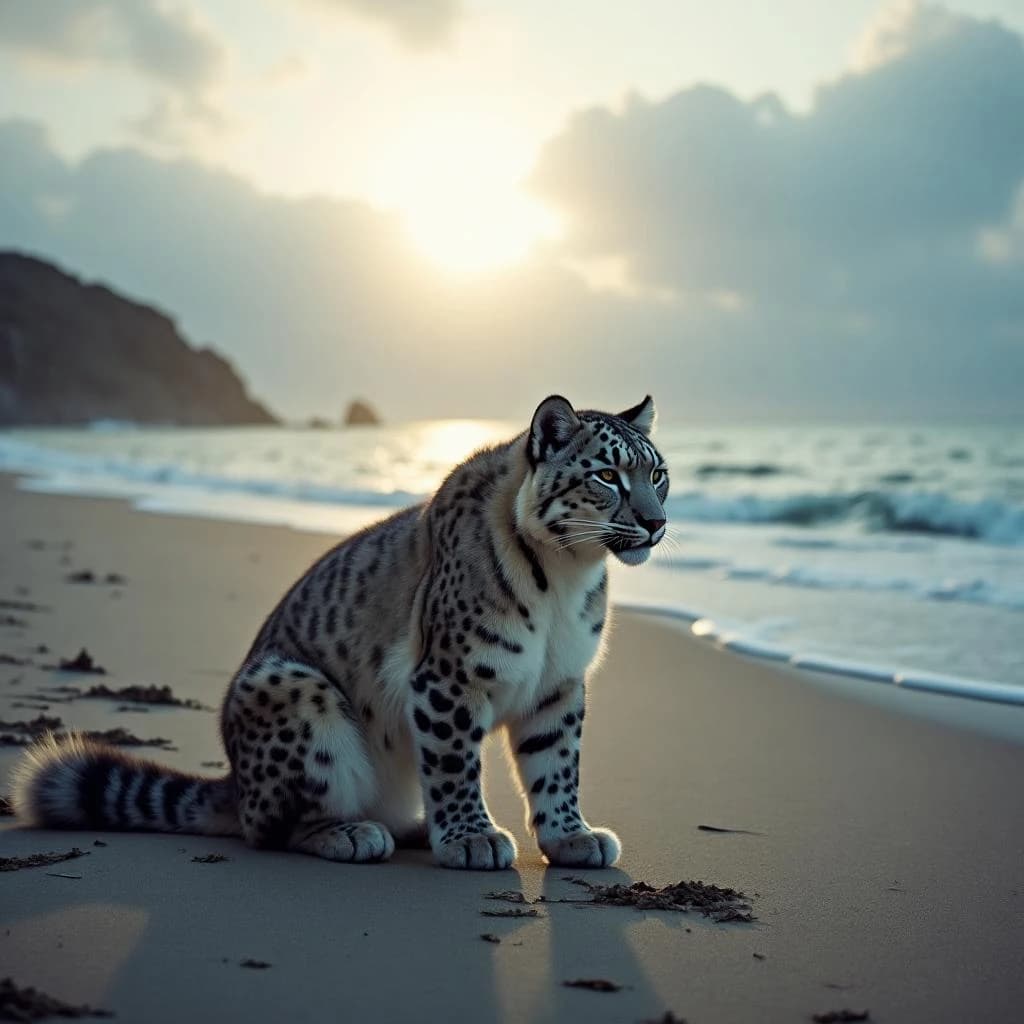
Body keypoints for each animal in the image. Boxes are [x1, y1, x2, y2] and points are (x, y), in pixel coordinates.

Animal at [13, 394, 670, 870]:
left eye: (658, 474)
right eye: (607, 475)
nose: (656, 521)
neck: (565, 578)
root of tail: (235, 779)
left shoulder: (559, 685)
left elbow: (557, 764)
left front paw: (570, 837)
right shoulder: (450, 679)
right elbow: (456, 763)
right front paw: (471, 838)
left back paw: (411, 826)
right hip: (297, 693)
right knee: (271, 828)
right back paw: (355, 834)